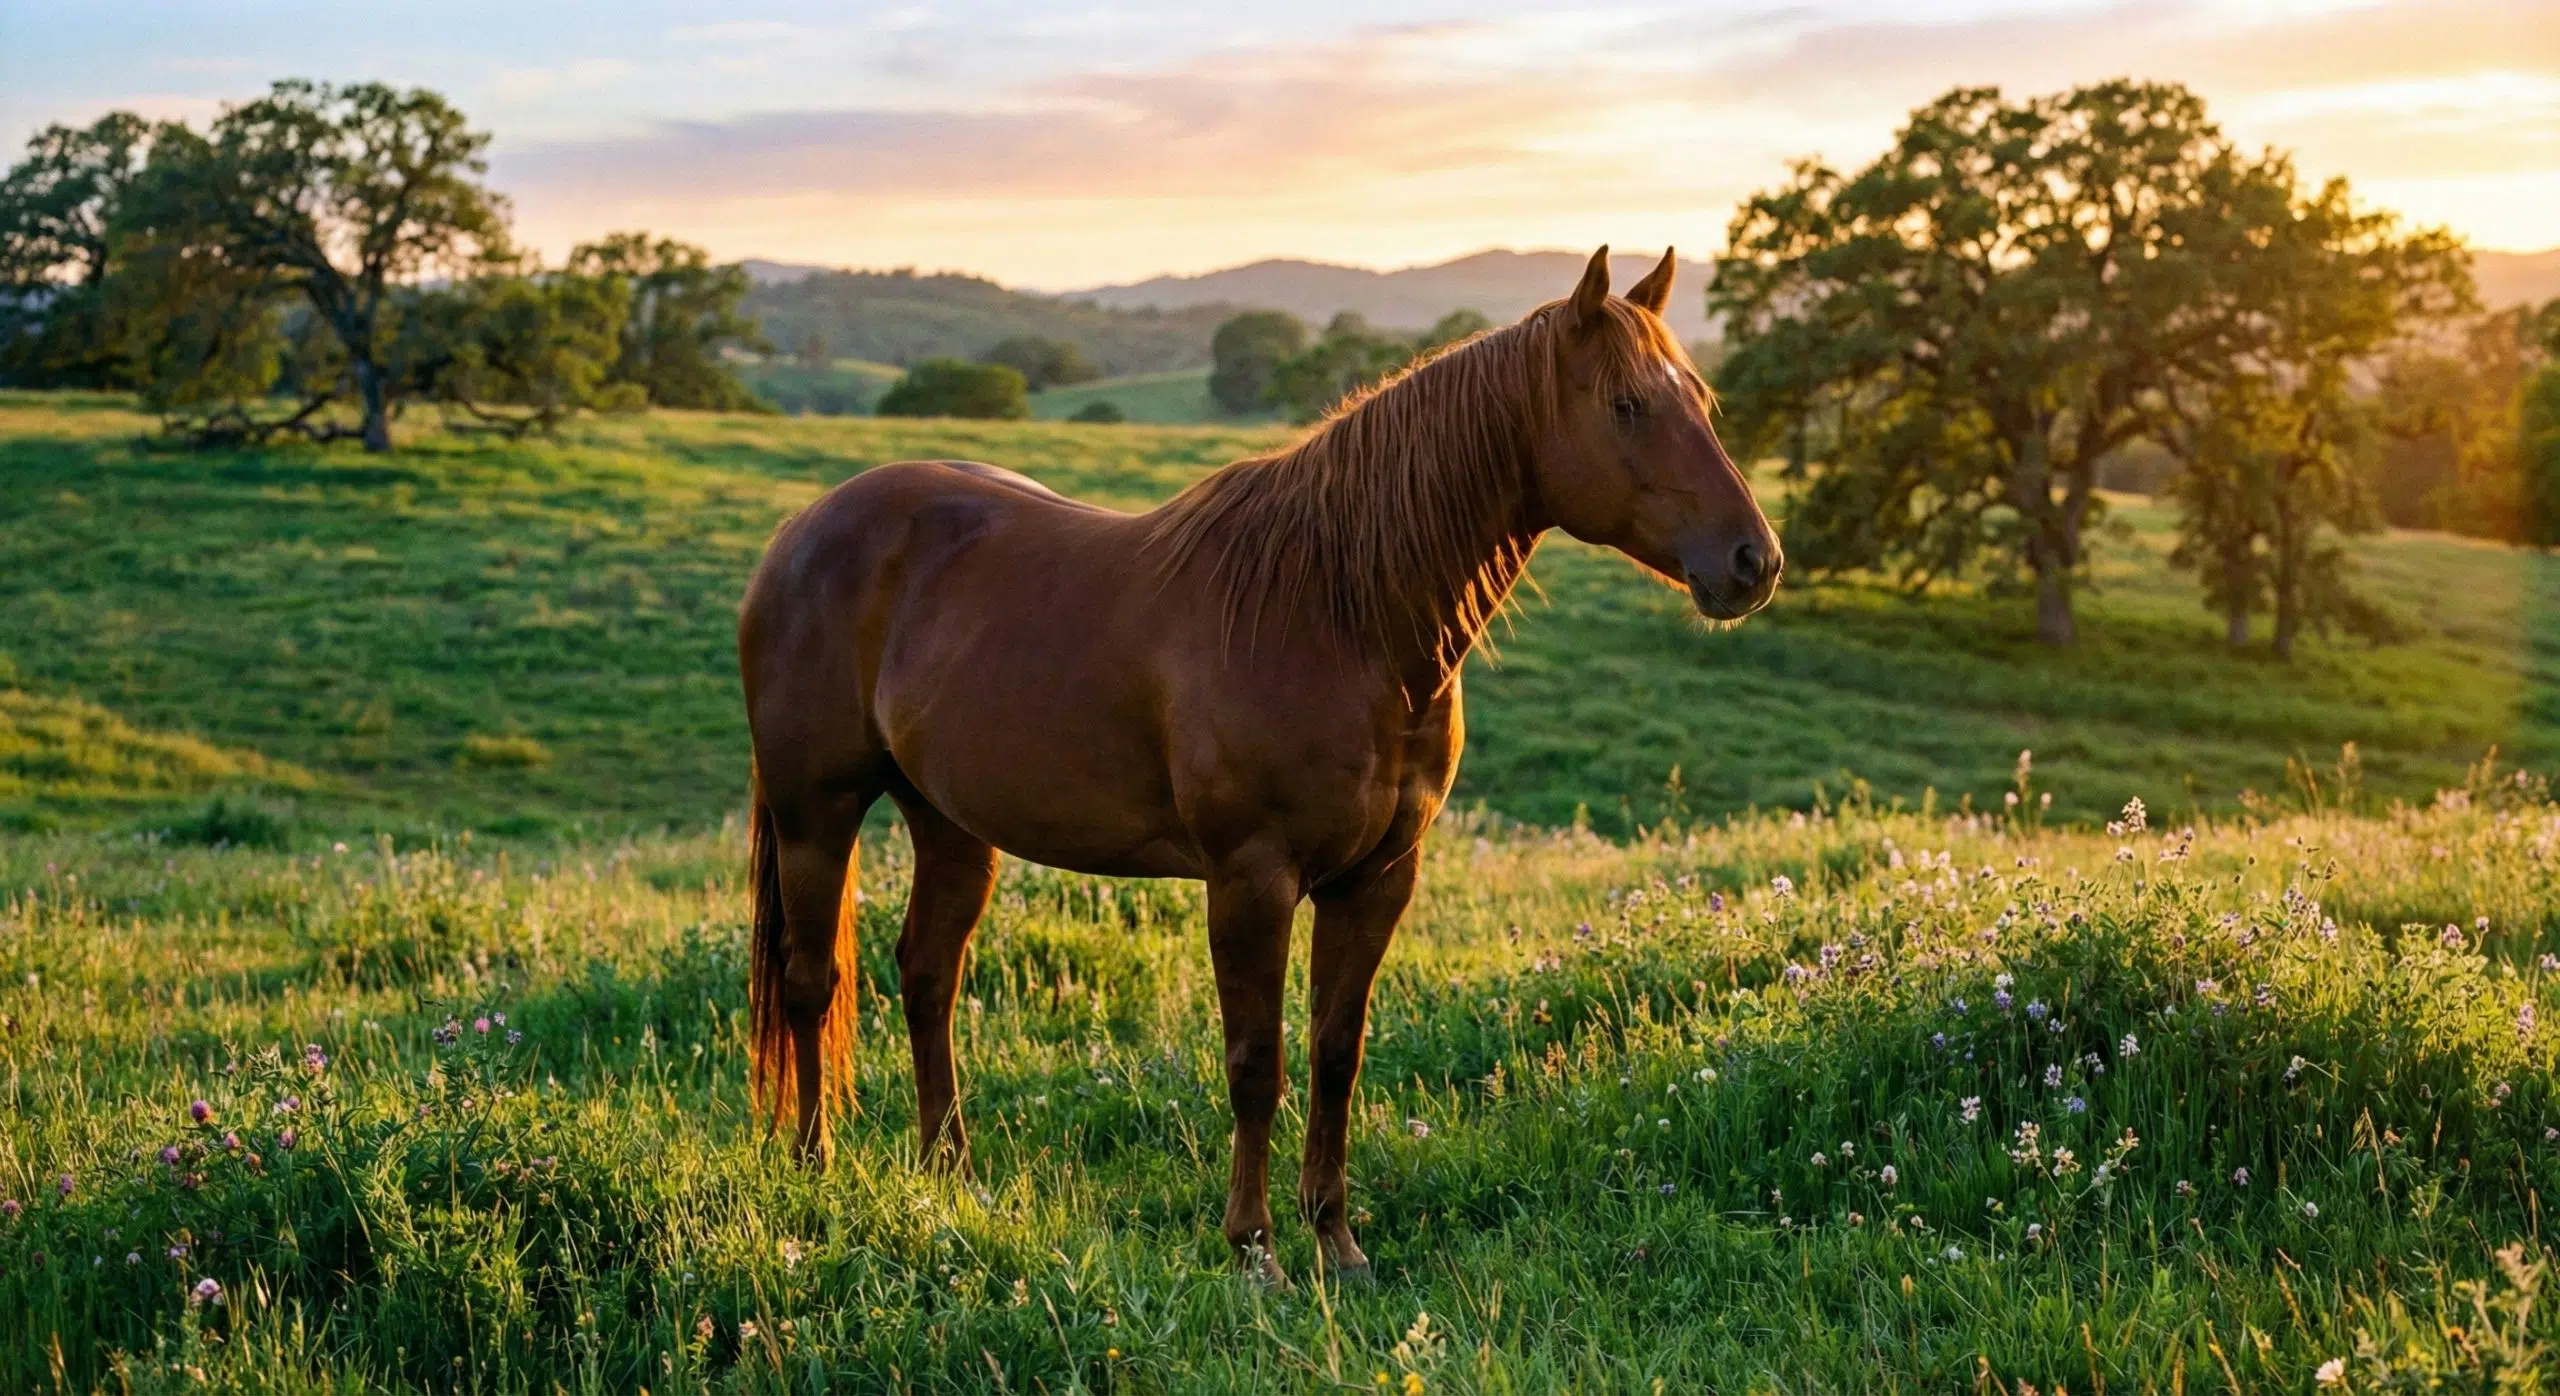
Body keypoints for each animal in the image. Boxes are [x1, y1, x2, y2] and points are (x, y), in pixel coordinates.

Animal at [737, 246, 1780, 1283]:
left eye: (1702, 400)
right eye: (1628, 406)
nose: (1753, 563)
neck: (1337, 615)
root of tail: (801, 531)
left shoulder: (1377, 879)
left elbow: (1334, 1055)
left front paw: (1338, 1244)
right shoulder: (1252, 879)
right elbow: (1255, 1063)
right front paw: (1254, 1250)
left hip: (950, 823)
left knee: (926, 976)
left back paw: (950, 1177)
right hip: (816, 811)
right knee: (809, 980)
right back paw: (815, 1168)